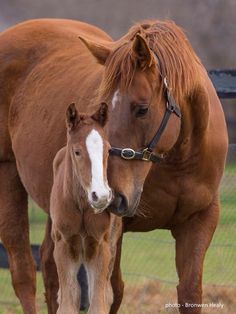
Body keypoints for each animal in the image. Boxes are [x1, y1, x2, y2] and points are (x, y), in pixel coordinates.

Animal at [0, 18, 228, 312]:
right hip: (7, 175)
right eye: (104, 106)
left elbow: (190, 293)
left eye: (142, 109)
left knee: (51, 270)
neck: (179, 160)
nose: (111, 196)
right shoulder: (110, 231)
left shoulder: (199, 222)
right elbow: (110, 293)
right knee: (24, 273)